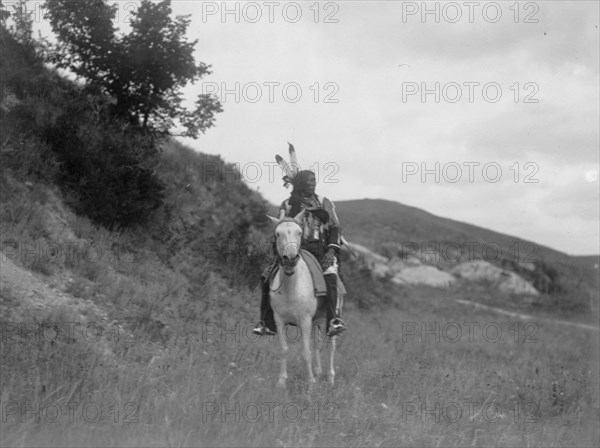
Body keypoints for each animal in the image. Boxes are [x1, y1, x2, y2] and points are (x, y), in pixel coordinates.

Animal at [268, 211, 338, 388]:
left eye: (299, 232)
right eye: (277, 234)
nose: (291, 258)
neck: (291, 288)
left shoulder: (305, 320)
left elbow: (306, 352)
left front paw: (310, 384)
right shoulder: (279, 319)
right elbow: (284, 349)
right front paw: (281, 382)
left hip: (328, 319)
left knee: (331, 346)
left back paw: (330, 378)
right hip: (318, 320)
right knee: (318, 345)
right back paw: (318, 372)